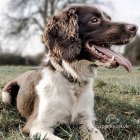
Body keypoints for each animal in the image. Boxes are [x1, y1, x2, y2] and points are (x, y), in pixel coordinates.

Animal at [1, 3, 137, 139]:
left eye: (109, 18)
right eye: (94, 20)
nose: (135, 27)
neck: (73, 80)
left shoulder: (86, 119)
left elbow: (97, 134)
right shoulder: (38, 127)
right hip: (6, 94)